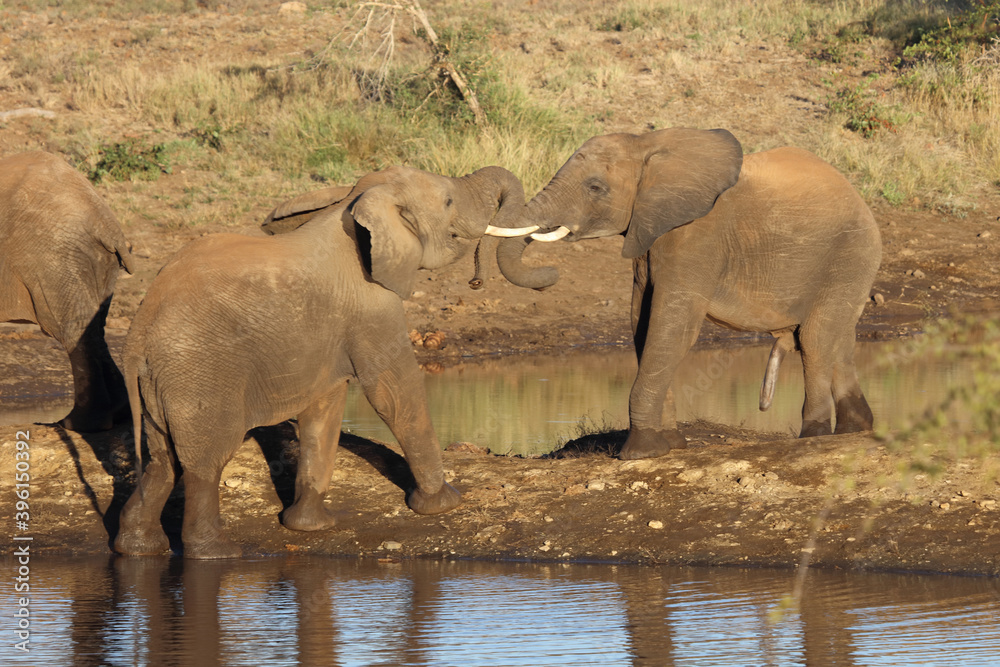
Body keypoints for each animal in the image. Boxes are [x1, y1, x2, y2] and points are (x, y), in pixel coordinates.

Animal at [0, 151, 134, 431]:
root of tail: (104, 220)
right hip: (94, 259)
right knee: (94, 325)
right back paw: (116, 413)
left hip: (50, 256)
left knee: (68, 325)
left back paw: (78, 423)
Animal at [114, 164, 537, 559]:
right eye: (448, 201)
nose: (476, 281)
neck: (357, 202)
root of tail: (138, 333)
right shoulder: (372, 302)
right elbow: (393, 392)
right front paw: (444, 503)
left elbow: (325, 408)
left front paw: (310, 527)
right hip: (199, 370)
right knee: (204, 463)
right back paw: (218, 552)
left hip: (162, 379)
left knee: (161, 458)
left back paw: (136, 548)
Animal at [484, 128, 881, 459]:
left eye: (595, 187)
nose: (549, 277)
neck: (646, 146)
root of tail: (859, 197)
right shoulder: (648, 236)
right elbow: (642, 324)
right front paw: (671, 445)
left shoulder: (696, 238)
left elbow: (671, 327)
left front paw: (640, 453)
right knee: (839, 337)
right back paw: (855, 429)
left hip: (852, 253)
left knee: (816, 338)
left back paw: (814, 435)